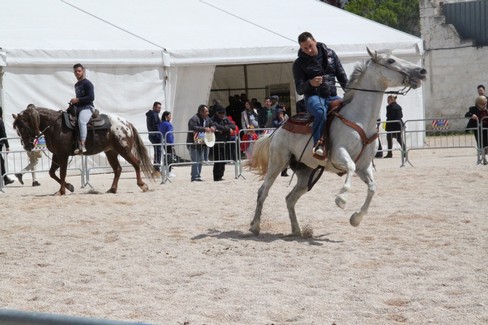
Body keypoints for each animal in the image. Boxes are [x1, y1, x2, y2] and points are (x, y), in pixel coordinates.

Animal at [12, 105, 154, 195]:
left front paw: (61, 191)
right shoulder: (56, 154)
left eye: (23, 127)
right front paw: (69, 187)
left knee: (136, 163)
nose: (27, 147)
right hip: (111, 152)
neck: (54, 125)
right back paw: (112, 189)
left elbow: (62, 173)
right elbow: (52, 173)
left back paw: (143, 185)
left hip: (124, 150)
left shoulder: (63, 155)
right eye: (17, 130)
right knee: (118, 169)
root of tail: (126, 124)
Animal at [248, 47, 428, 235]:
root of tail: (277, 131)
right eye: (391, 61)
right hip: (277, 163)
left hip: (306, 174)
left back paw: (297, 230)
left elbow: (372, 187)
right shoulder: (339, 155)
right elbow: (350, 167)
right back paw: (255, 226)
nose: (422, 71)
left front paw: (355, 219)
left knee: (290, 199)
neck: (360, 119)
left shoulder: (365, 166)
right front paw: (341, 199)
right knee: (263, 191)